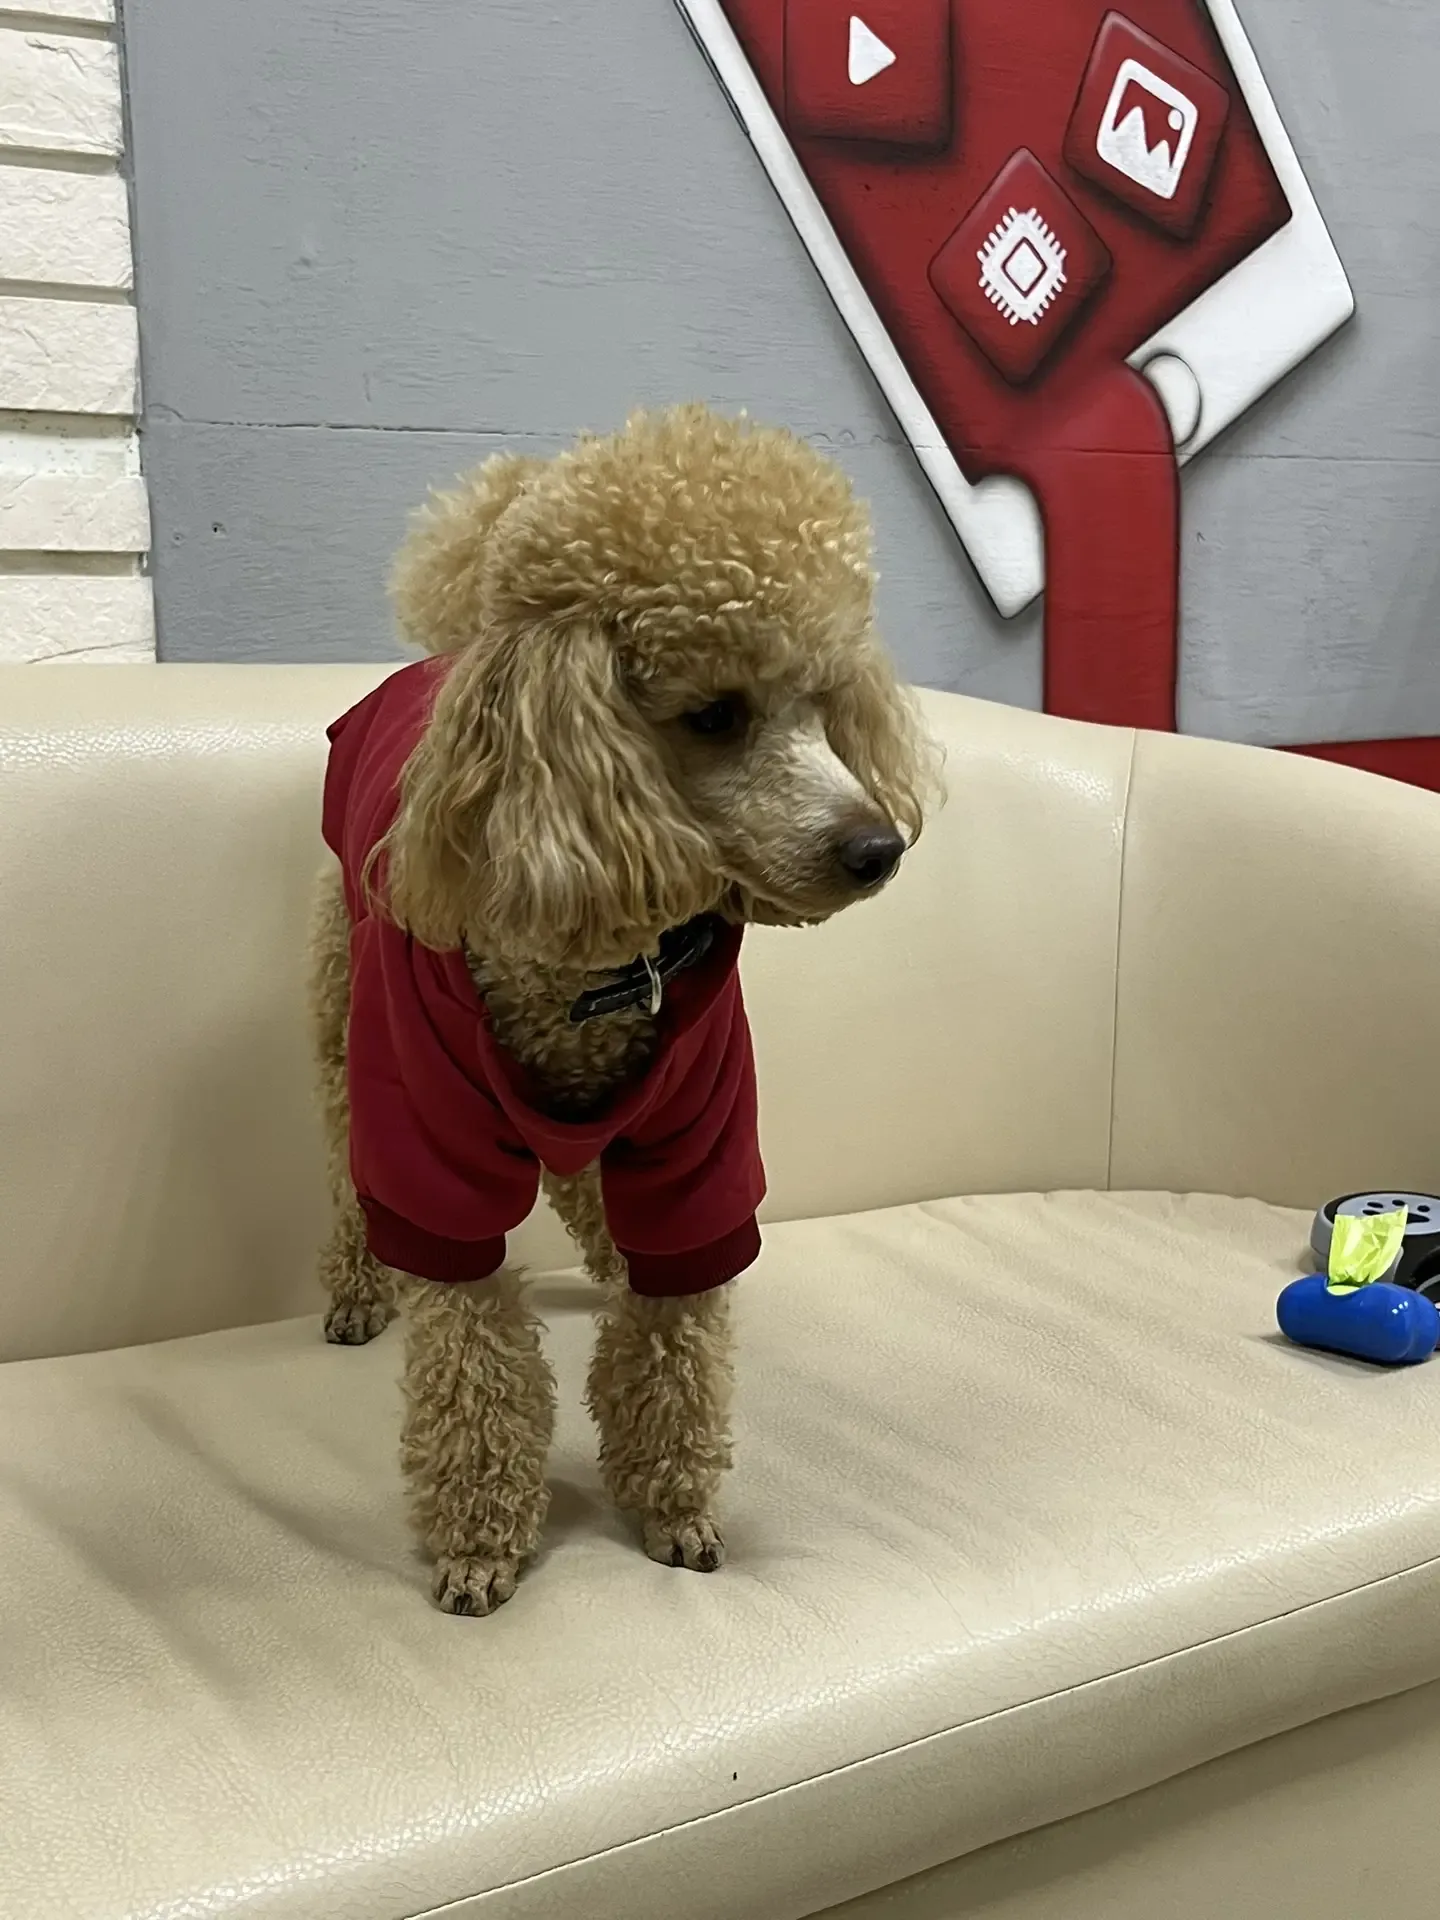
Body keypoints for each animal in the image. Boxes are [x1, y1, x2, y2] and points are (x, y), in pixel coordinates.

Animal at [309, 405, 937, 1614]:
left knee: (580, 1181)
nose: (878, 848)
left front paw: (675, 1508)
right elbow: (473, 1358)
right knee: (343, 1159)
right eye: (715, 714)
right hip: (338, 1017)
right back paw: (359, 1288)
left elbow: (674, 1333)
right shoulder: (432, 1136)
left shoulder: (697, 1136)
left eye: (829, 703)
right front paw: (479, 1542)